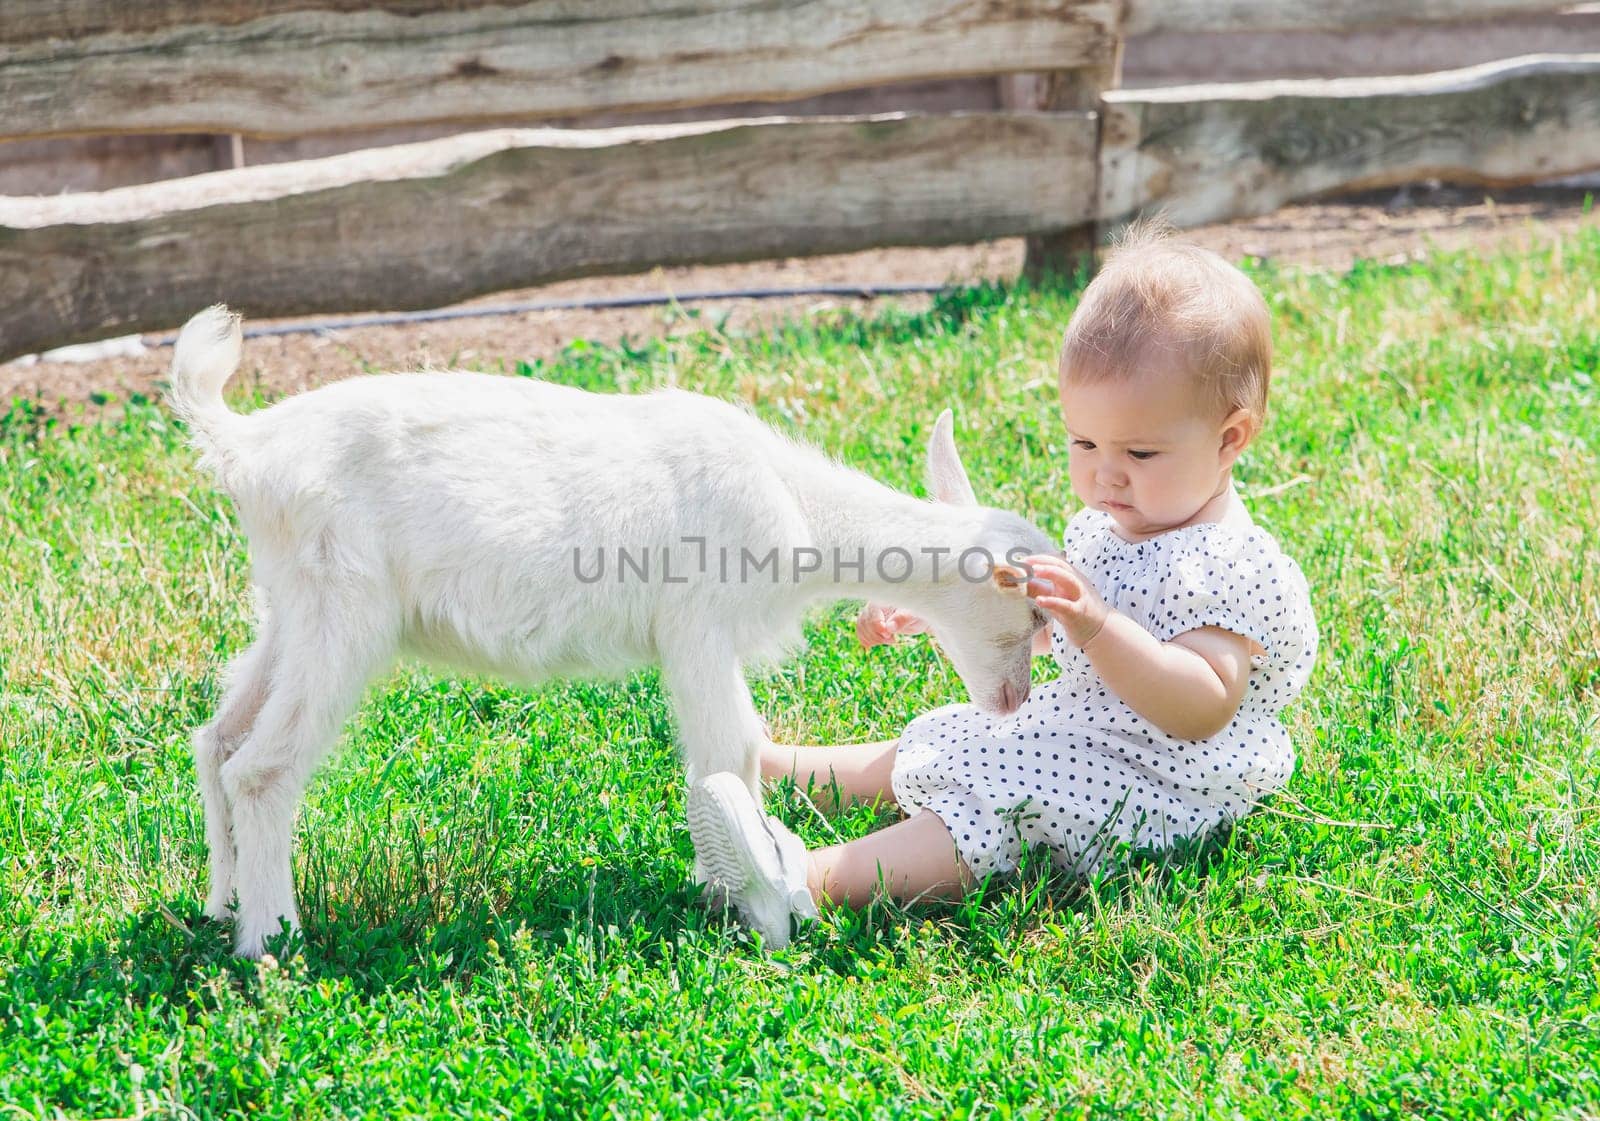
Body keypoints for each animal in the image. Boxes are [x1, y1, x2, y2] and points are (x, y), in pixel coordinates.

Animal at [168, 303, 1056, 953]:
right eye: (1034, 612)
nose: (1013, 702)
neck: (799, 508)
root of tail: (244, 446)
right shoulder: (698, 626)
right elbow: (729, 750)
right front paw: (757, 906)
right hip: (343, 605)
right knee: (263, 767)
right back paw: (273, 941)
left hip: (291, 601)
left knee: (218, 737)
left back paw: (220, 904)